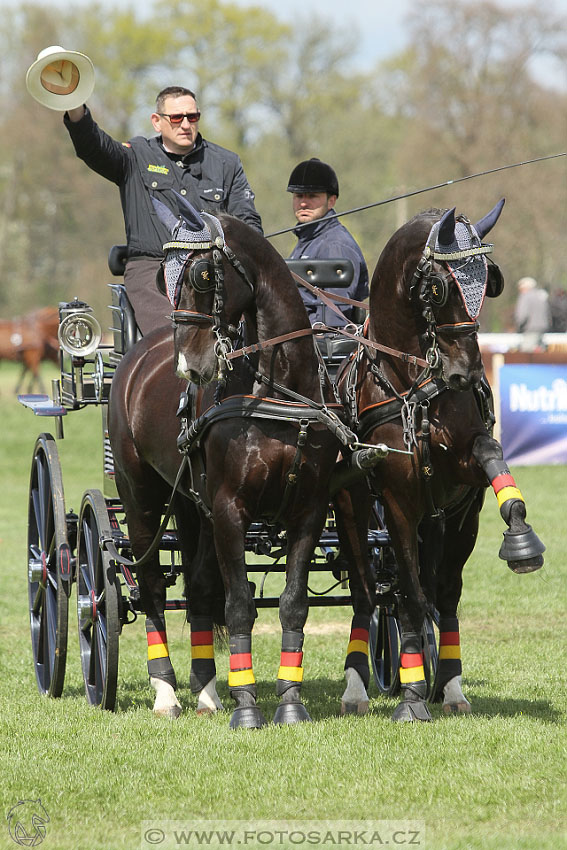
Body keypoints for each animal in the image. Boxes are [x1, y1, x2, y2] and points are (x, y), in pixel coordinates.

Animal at [107, 197, 350, 724]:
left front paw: (289, 701)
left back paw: (205, 691)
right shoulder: (229, 508)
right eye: (165, 276)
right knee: (152, 587)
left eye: (201, 275)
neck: (277, 393)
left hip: (189, 502)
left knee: (198, 590)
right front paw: (247, 707)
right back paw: (166, 692)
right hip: (141, 496)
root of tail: (138, 355)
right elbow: (239, 604)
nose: (189, 367)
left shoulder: (308, 511)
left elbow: (293, 603)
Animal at [332, 200, 544, 724]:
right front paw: (410, 697)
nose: (466, 372)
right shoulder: (397, 502)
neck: (414, 383)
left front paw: (521, 535)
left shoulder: (463, 495)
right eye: (438, 286)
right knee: (369, 592)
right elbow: (407, 596)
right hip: (352, 509)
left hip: (443, 521)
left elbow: (491, 457)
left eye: (489, 280)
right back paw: (358, 685)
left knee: (434, 592)